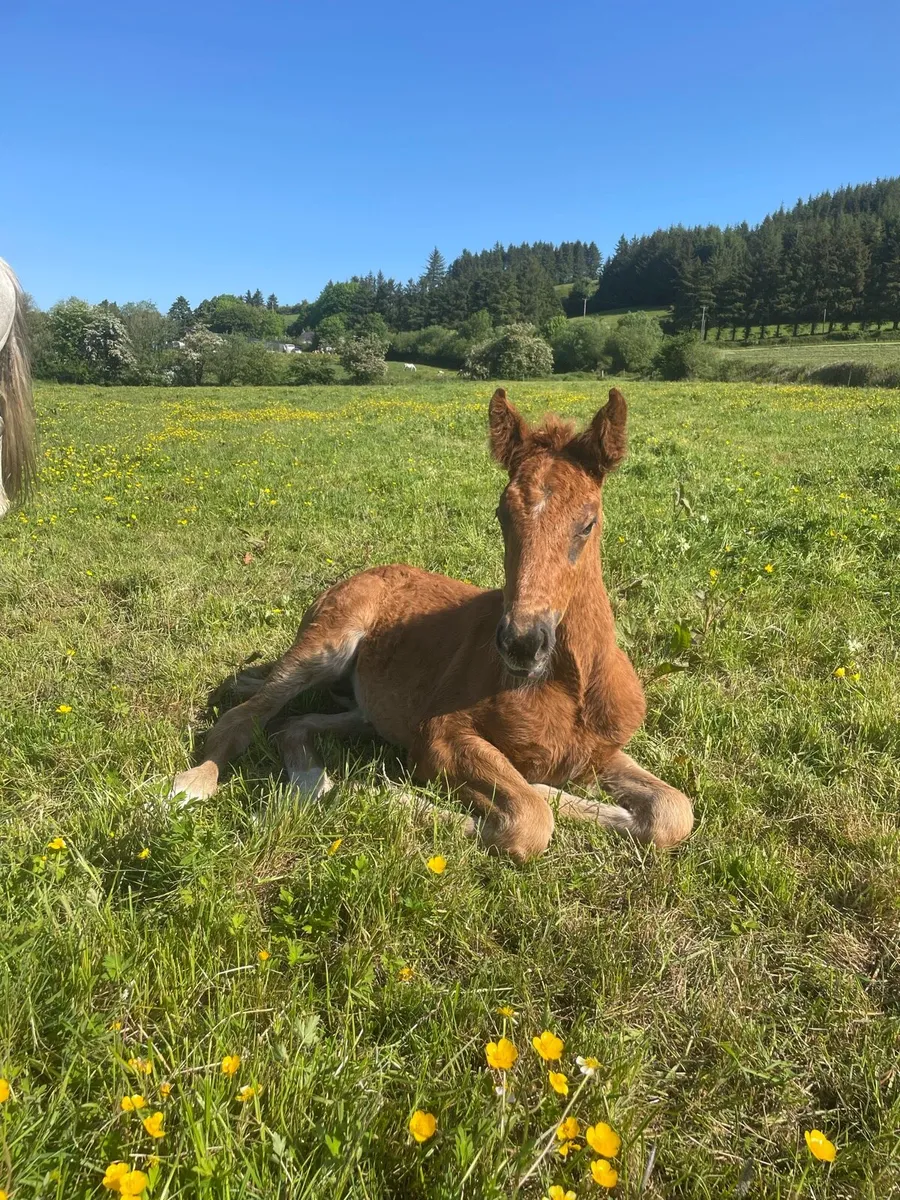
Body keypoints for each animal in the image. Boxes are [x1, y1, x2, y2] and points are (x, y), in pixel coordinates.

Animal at [171, 387, 694, 862]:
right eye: (502, 514)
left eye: (587, 523)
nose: (522, 643)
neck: (570, 686)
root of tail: (357, 575)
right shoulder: (439, 736)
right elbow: (528, 820)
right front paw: (385, 795)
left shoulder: (601, 751)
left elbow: (674, 811)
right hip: (326, 646)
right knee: (243, 718)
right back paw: (189, 789)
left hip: (368, 711)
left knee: (292, 727)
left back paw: (313, 785)